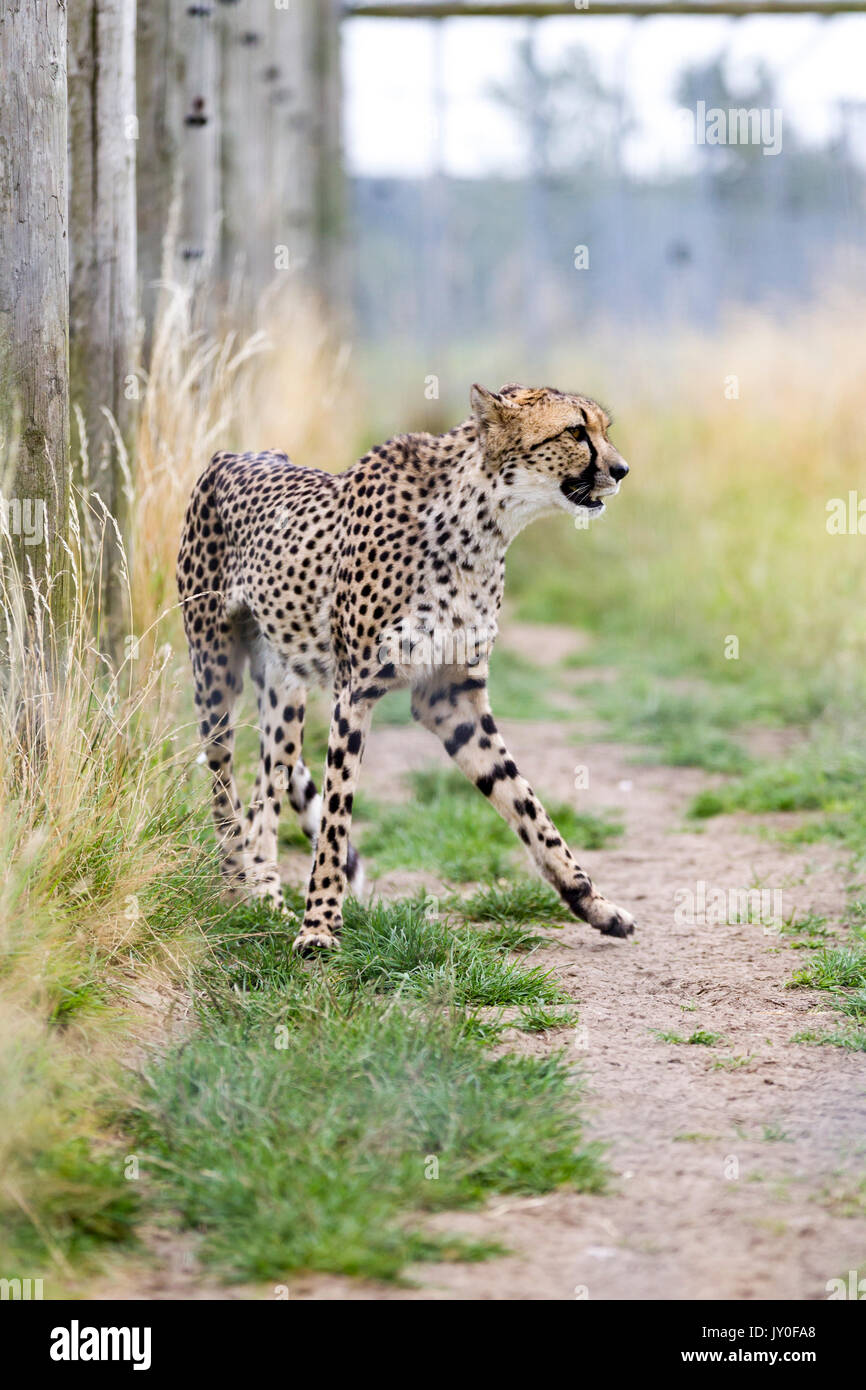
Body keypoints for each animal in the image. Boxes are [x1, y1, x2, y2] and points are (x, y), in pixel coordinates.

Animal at [177, 383, 636, 956]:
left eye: (603, 429)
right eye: (575, 431)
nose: (621, 469)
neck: (482, 525)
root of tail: (233, 454)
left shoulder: (451, 697)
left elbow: (527, 805)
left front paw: (594, 904)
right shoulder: (355, 692)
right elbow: (336, 816)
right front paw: (319, 926)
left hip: (284, 689)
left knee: (267, 785)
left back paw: (266, 897)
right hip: (214, 670)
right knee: (222, 784)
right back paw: (239, 889)